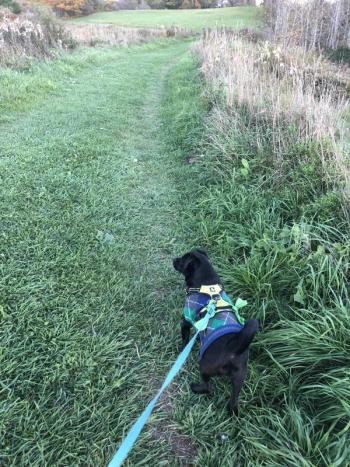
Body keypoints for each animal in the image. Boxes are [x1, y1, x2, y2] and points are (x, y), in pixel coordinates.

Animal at [172, 249, 258, 416]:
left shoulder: (186, 321)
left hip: (205, 367)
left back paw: (195, 388)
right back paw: (232, 412)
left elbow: (184, 339)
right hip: (239, 377)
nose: (173, 259)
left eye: (181, 260)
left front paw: (182, 351)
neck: (206, 284)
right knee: (233, 400)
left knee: (207, 387)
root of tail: (233, 349)